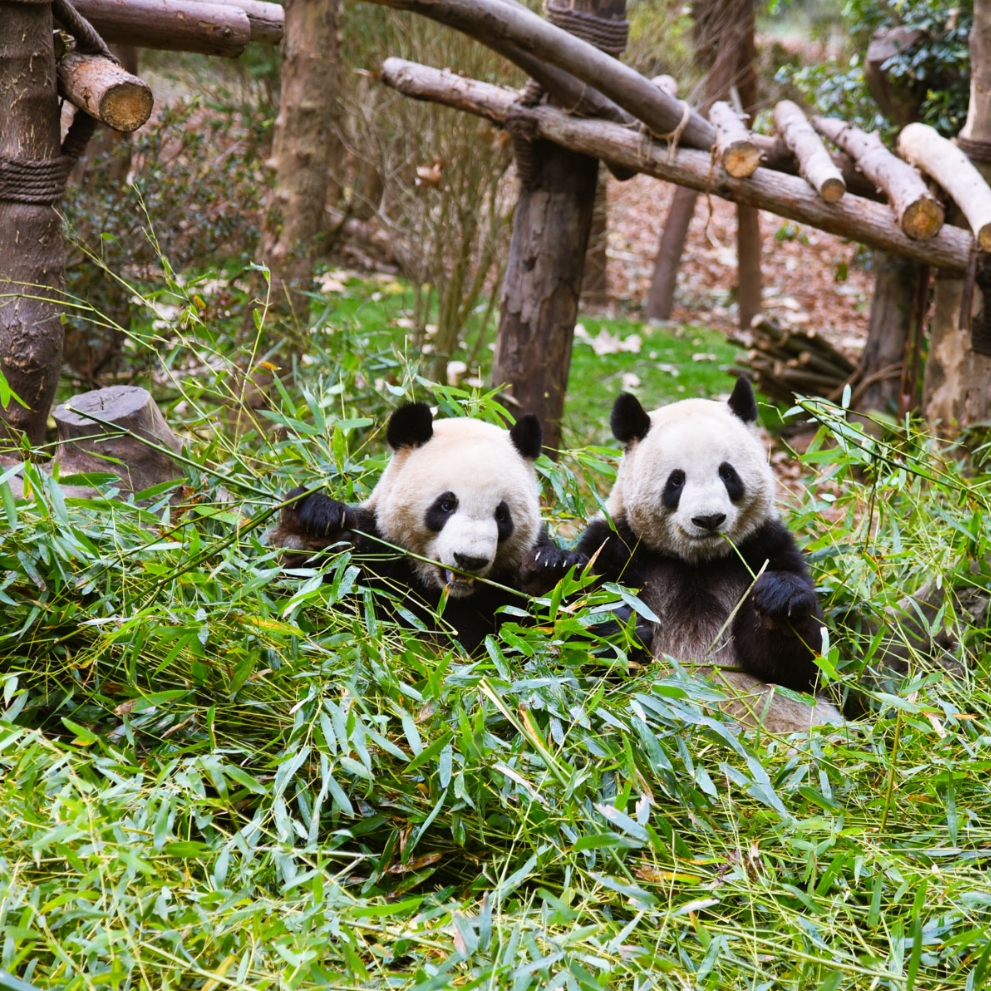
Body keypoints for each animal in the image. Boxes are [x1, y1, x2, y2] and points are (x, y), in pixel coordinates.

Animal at [268, 400, 556, 656]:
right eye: (446, 505)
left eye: (502, 515)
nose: (469, 559)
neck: (444, 594)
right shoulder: (375, 554)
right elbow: (301, 600)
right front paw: (312, 527)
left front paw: (544, 570)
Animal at [524, 376, 840, 732]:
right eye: (676, 481)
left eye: (728, 474)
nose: (708, 519)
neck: (696, 561)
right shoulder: (615, 548)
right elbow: (572, 640)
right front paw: (617, 621)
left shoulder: (765, 547)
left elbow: (803, 669)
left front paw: (779, 598)